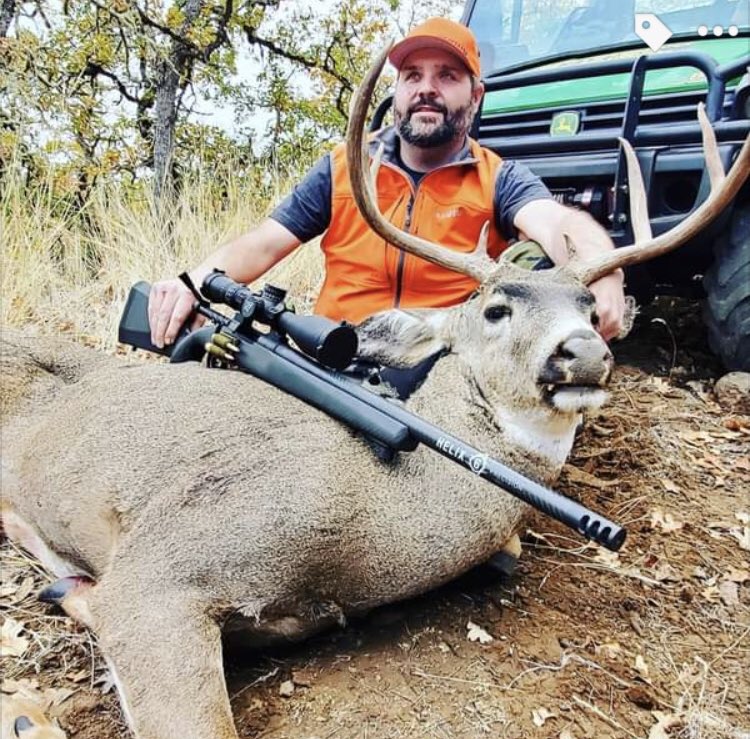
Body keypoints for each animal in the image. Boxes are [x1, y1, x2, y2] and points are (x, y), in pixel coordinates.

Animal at [1, 42, 748, 739]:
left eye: (592, 310)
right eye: (495, 309)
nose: (585, 353)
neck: (374, 509)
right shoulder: (162, 569)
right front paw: (64, 603)